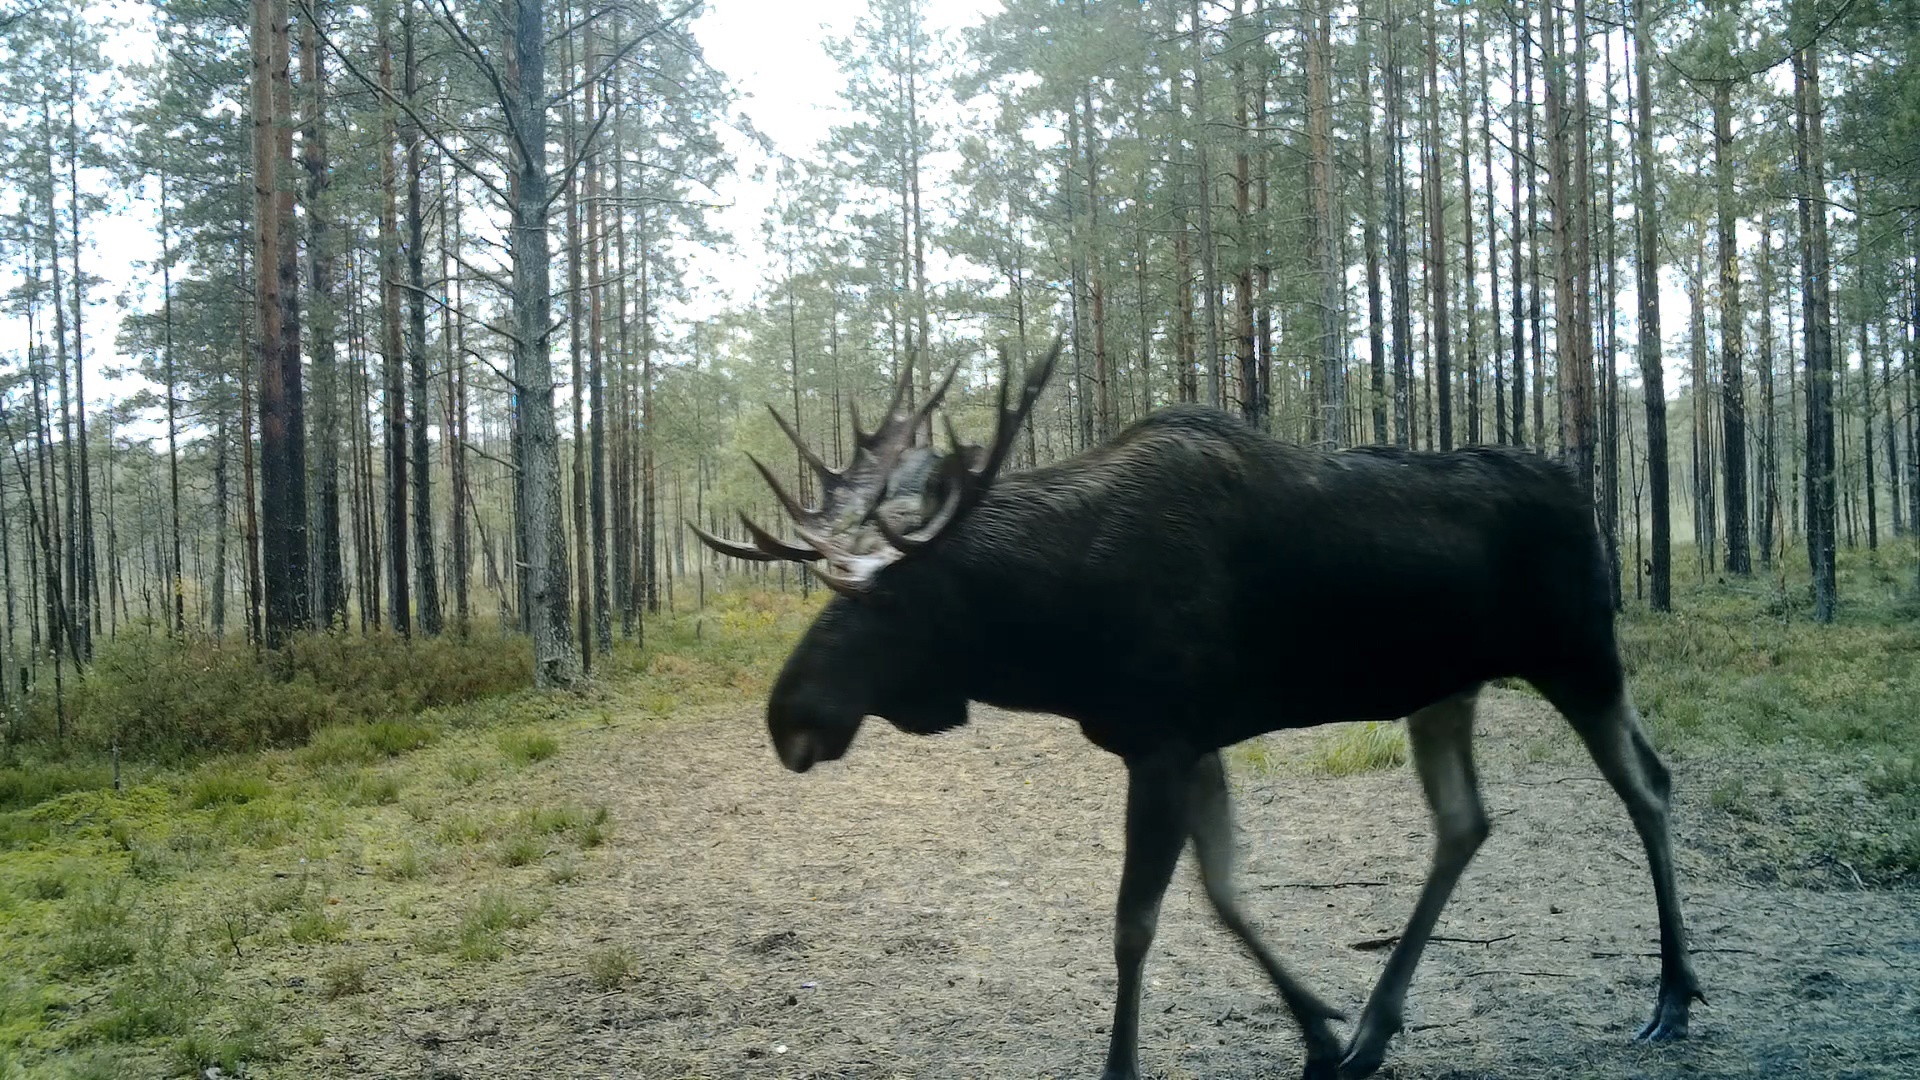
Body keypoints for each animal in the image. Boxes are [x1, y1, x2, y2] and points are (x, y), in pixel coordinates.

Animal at [691, 343, 1697, 1076]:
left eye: (890, 598)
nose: (790, 717)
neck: (1056, 632)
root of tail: (1582, 492)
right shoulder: (1192, 739)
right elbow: (1224, 890)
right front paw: (1320, 1032)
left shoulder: (1163, 742)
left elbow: (1136, 924)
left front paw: (1123, 1068)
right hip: (1445, 687)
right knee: (1466, 822)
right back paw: (1377, 1026)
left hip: (1580, 655)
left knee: (1648, 784)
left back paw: (1674, 996)